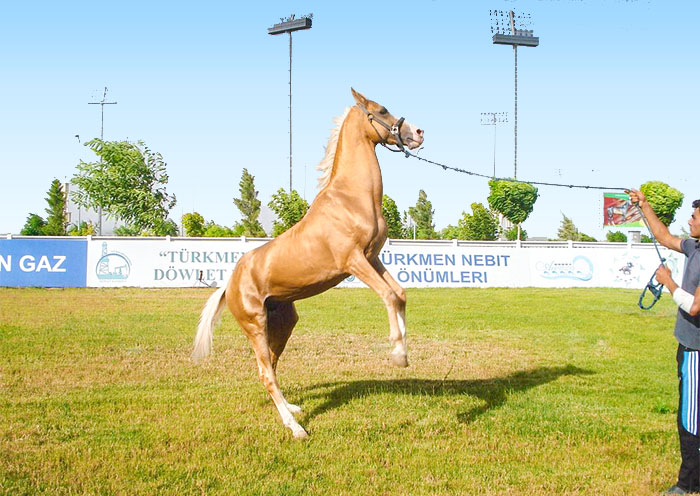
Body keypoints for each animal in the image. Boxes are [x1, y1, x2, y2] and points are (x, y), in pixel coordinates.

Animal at [191, 89, 424, 439]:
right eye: (382, 110)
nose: (418, 133)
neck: (351, 199)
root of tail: (229, 284)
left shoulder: (373, 257)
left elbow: (400, 294)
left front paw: (404, 354)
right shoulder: (354, 260)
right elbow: (388, 295)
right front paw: (398, 355)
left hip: (284, 322)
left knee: (271, 366)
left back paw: (292, 408)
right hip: (255, 325)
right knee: (265, 373)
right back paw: (296, 428)